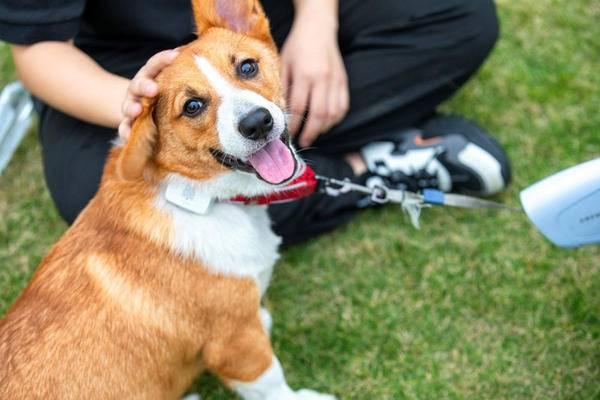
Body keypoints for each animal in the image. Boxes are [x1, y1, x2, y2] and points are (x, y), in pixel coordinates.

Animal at [0, 1, 336, 398]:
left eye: (247, 67)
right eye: (192, 106)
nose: (257, 123)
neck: (199, 196)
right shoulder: (235, 345)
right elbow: (272, 381)